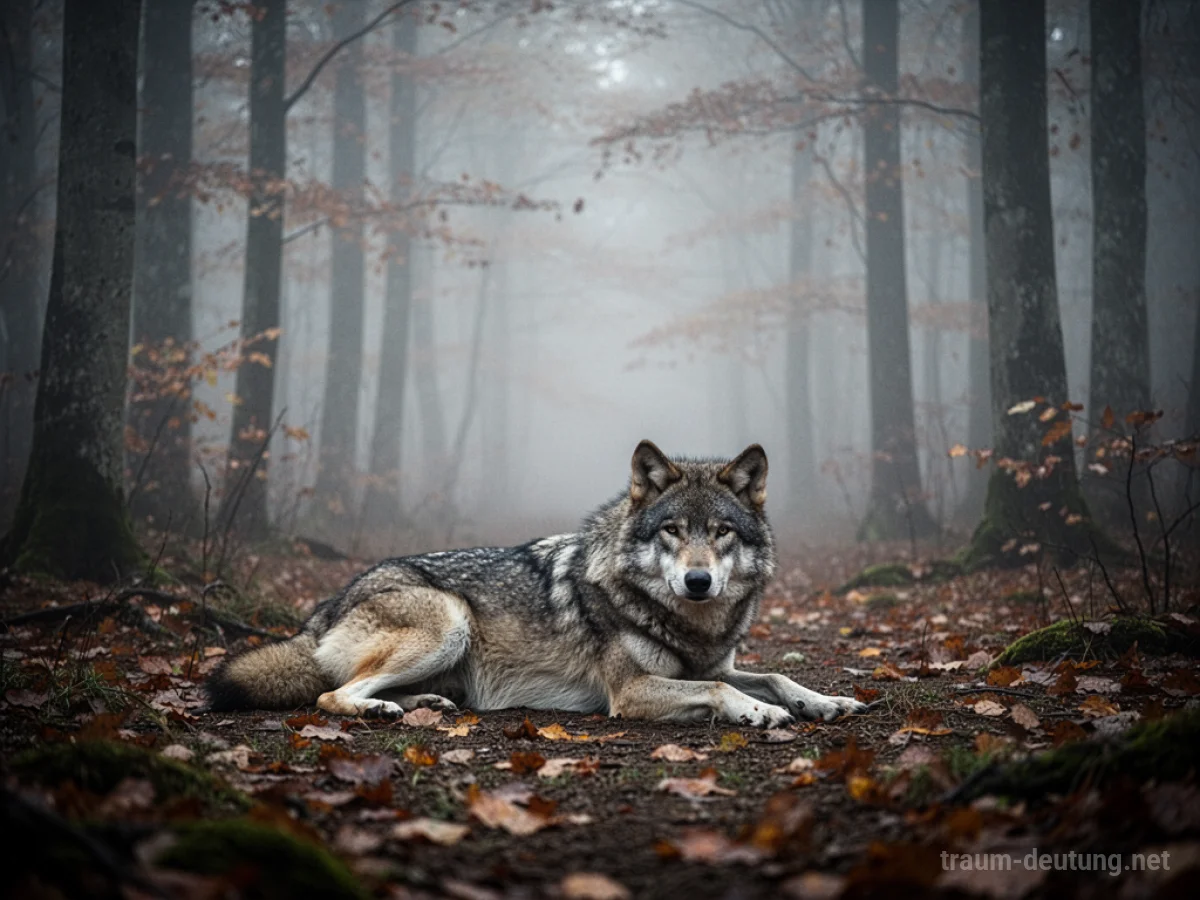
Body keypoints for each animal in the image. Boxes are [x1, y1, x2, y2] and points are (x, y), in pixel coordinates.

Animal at [206, 441, 868, 726]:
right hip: (449, 621)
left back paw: (424, 704)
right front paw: (760, 712)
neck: (691, 624)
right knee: (332, 695)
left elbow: (773, 675)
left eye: (722, 532)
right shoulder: (629, 693)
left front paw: (823, 701)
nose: (698, 580)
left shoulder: (716, 661)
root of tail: (328, 605)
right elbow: (726, 690)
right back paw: (385, 709)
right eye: (673, 531)